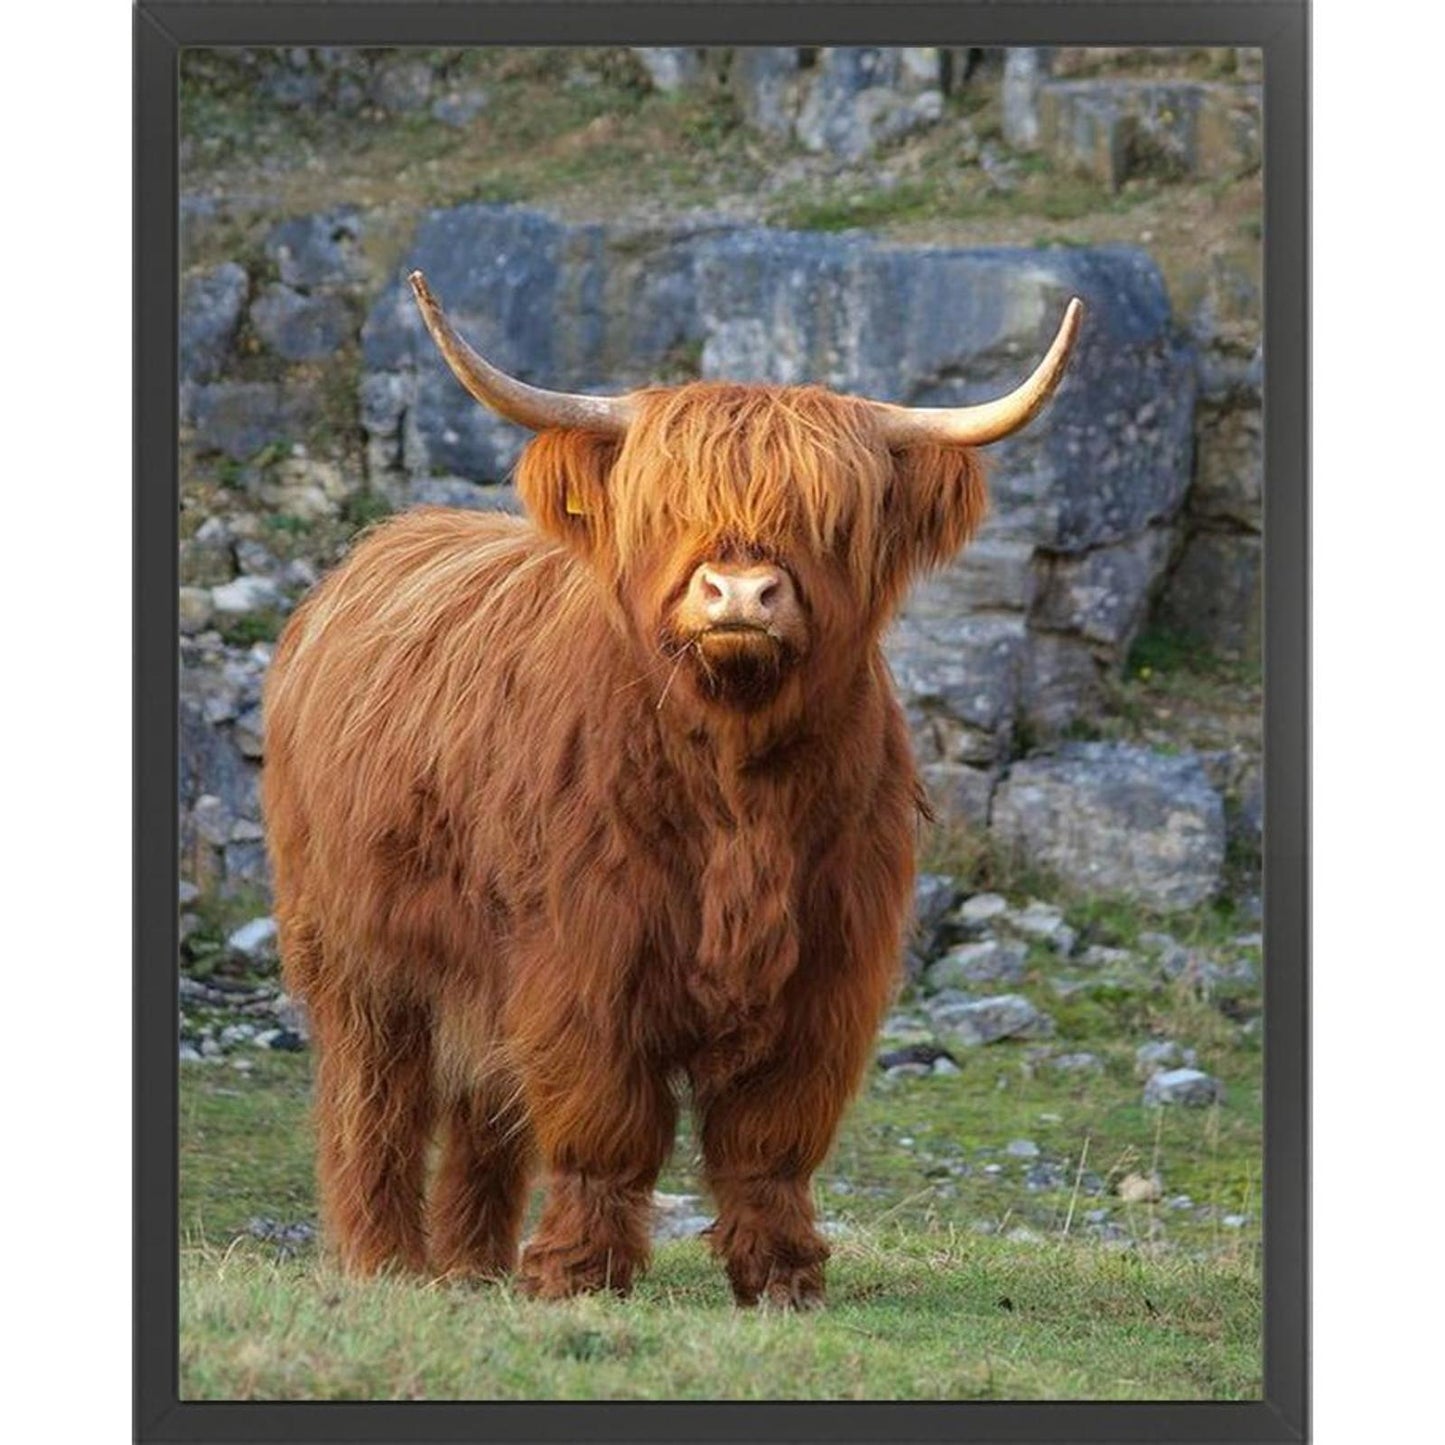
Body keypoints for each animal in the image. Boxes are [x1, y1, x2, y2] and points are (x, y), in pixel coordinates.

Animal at [261, 270, 1081, 1306]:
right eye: (665, 506)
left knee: (484, 1109)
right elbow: (602, 1120)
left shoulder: (829, 970)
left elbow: (772, 1137)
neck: (735, 787)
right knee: (375, 1102)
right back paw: (386, 1263)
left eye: (832, 518)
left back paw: (475, 1266)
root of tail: (371, 552)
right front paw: (580, 1275)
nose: (738, 594)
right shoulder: (584, 957)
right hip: (357, 953)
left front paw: (782, 1278)